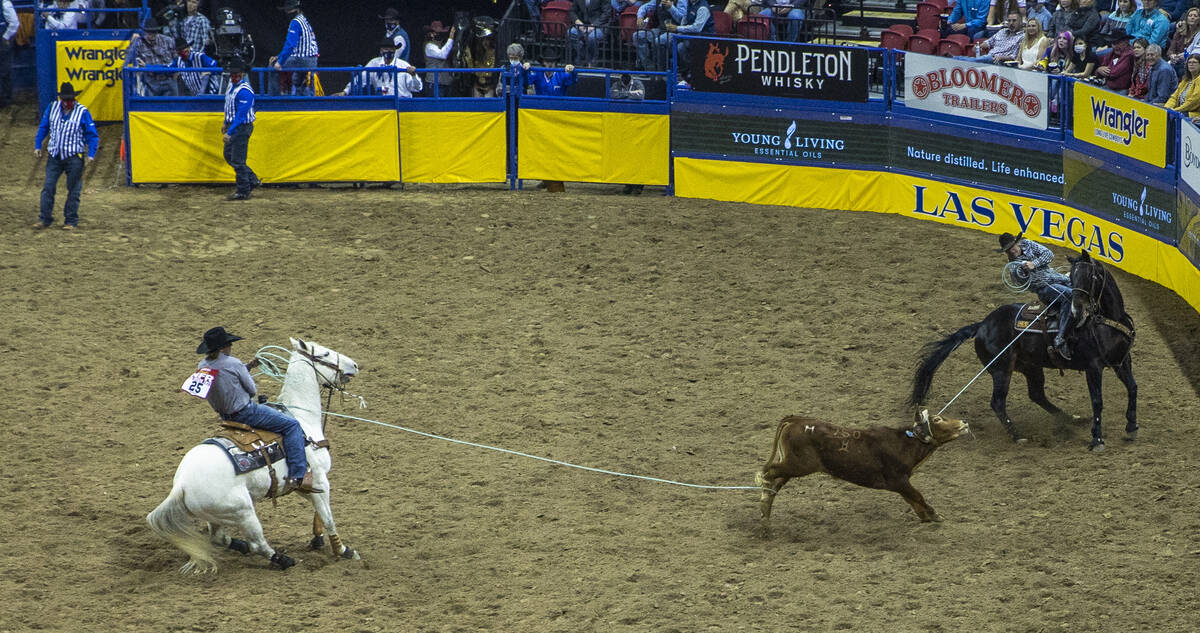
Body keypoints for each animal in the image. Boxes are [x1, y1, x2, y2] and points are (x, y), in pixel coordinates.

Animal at [147, 335, 360, 573]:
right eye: (325, 353)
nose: (354, 365)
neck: (302, 418)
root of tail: (181, 485)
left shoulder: (305, 486)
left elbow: (319, 514)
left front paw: (317, 539)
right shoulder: (320, 480)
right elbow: (328, 517)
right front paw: (343, 550)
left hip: (218, 514)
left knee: (219, 538)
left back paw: (243, 547)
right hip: (243, 511)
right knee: (258, 543)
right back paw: (282, 559)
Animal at [912, 248, 1137, 450]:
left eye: (1090, 276)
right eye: (1073, 277)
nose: (1076, 311)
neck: (1108, 320)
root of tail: (982, 325)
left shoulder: (1122, 360)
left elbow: (1132, 387)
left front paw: (1132, 427)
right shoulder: (1093, 367)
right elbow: (1097, 401)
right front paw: (1097, 440)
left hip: (1031, 367)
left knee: (1037, 395)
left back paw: (1070, 419)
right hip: (1001, 369)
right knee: (998, 402)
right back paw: (1017, 435)